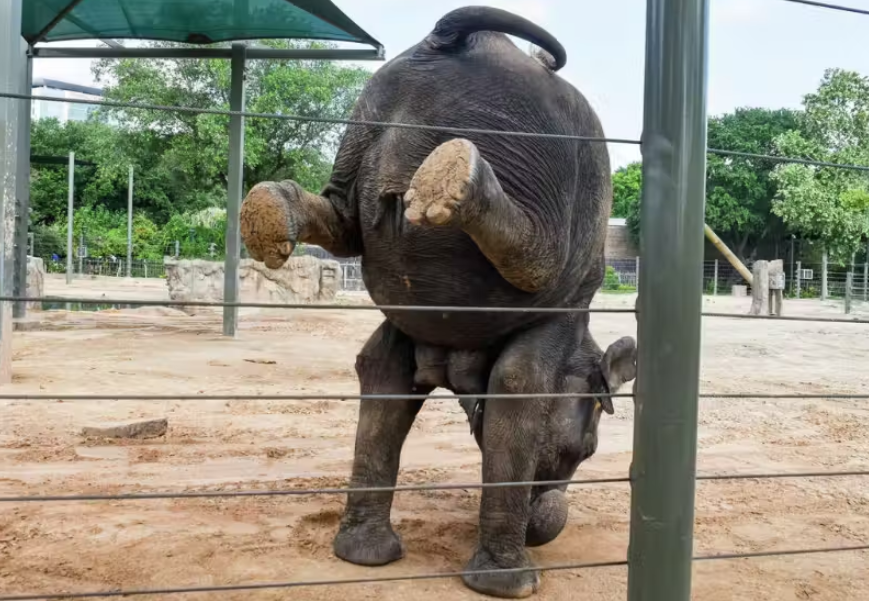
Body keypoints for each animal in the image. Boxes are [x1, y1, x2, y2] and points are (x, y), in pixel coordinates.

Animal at [237, 4, 636, 596]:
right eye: (584, 451)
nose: (543, 521)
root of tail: (448, 37)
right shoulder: (569, 307)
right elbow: (518, 386)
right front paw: (510, 585)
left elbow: (383, 375)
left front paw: (364, 558)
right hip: (538, 170)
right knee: (539, 255)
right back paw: (458, 179)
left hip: (366, 122)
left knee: (346, 222)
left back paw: (272, 211)